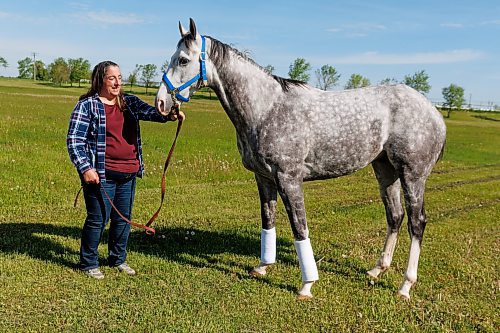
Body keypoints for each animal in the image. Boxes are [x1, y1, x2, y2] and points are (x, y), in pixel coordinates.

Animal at [155, 17, 446, 298]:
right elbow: (268, 220)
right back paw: (376, 270)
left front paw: (307, 285)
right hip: (385, 169)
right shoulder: (264, 178)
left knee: (417, 223)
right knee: (395, 216)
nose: (161, 103)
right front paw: (262, 267)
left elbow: (299, 227)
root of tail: (434, 112)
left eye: (183, 60)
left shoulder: (289, 179)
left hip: (412, 175)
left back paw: (405, 286)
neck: (267, 109)